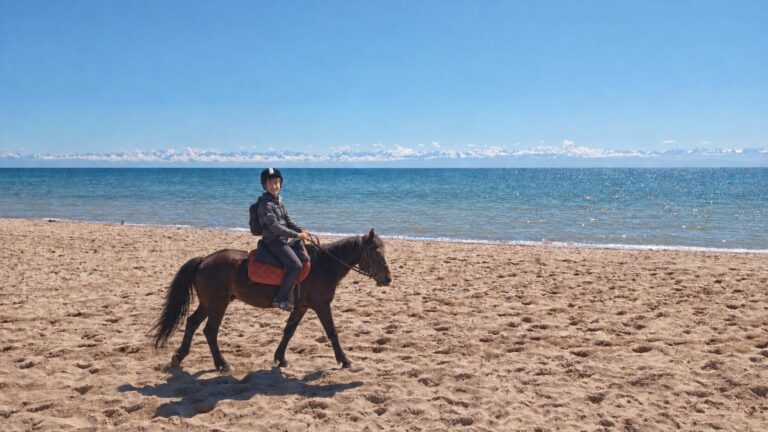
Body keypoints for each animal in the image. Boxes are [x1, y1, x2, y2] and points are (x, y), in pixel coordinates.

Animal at [151, 229, 392, 373]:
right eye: (374, 252)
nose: (387, 278)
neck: (323, 265)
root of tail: (204, 260)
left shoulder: (302, 307)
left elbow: (289, 330)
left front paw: (280, 358)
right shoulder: (321, 305)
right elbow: (332, 332)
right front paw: (344, 360)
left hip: (209, 303)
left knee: (192, 323)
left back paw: (179, 357)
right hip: (218, 304)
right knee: (210, 330)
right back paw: (222, 363)